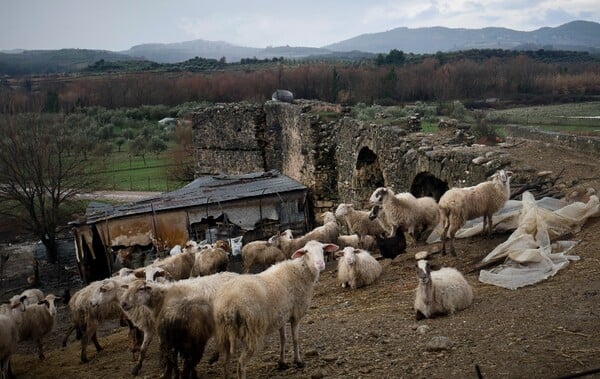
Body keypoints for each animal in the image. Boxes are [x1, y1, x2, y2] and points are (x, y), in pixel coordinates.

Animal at [212, 240, 338, 379]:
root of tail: (228, 306)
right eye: (306, 251)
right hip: (252, 330)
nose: (320, 264)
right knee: (241, 364)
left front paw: (282, 363)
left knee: (225, 362)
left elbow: (283, 339)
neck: (302, 271)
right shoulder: (296, 314)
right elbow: (295, 339)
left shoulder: (281, 315)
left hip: (224, 333)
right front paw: (298, 361)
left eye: (323, 249)